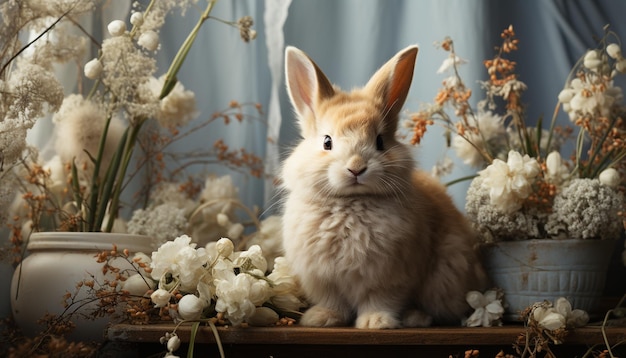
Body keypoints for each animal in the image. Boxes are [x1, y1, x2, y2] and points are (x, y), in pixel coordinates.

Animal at [278, 44, 488, 328]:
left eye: (379, 142)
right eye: (326, 142)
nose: (356, 167)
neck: (351, 202)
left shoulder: (391, 278)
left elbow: (380, 300)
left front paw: (376, 322)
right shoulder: (323, 280)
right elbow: (332, 301)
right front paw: (321, 318)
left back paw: (415, 318)